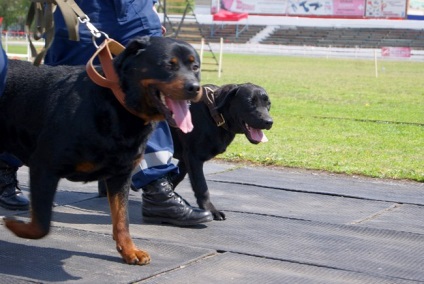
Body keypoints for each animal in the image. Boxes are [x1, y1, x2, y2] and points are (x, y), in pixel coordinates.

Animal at [0, 36, 202, 266]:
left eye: (195, 67)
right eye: (168, 64)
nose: (195, 87)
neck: (118, 106)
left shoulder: (121, 175)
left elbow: (122, 219)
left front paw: (129, 250)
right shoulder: (44, 166)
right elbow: (41, 223)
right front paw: (16, 226)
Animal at [171, 83, 274, 221]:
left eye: (268, 104)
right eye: (249, 102)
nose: (269, 122)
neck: (214, 115)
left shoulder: (185, 158)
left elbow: (177, 177)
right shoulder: (193, 156)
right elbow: (201, 186)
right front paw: (210, 209)